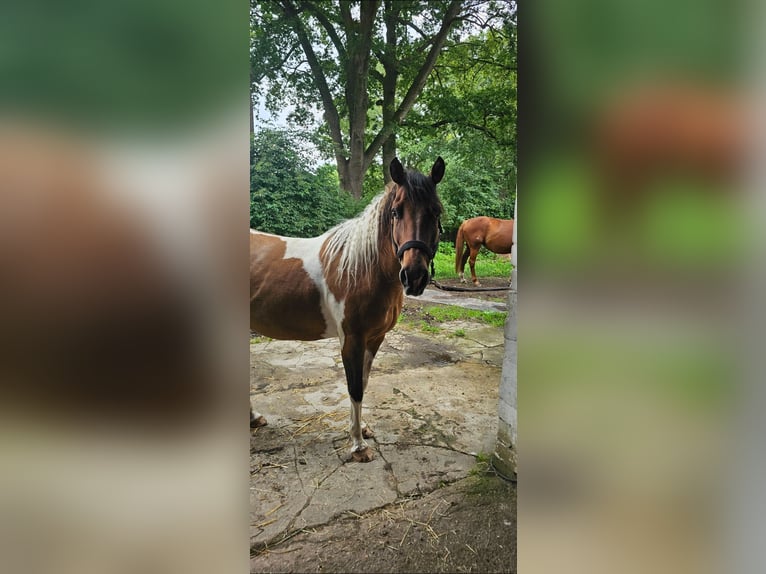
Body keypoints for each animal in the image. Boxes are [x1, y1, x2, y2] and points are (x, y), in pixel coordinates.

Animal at [250, 157, 444, 462]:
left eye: (436, 212)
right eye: (396, 212)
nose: (414, 276)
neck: (362, 268)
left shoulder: (374, 338)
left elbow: (362, 383)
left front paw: (361, 429)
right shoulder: (351, 339)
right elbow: (354, 388)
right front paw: (358, 446)